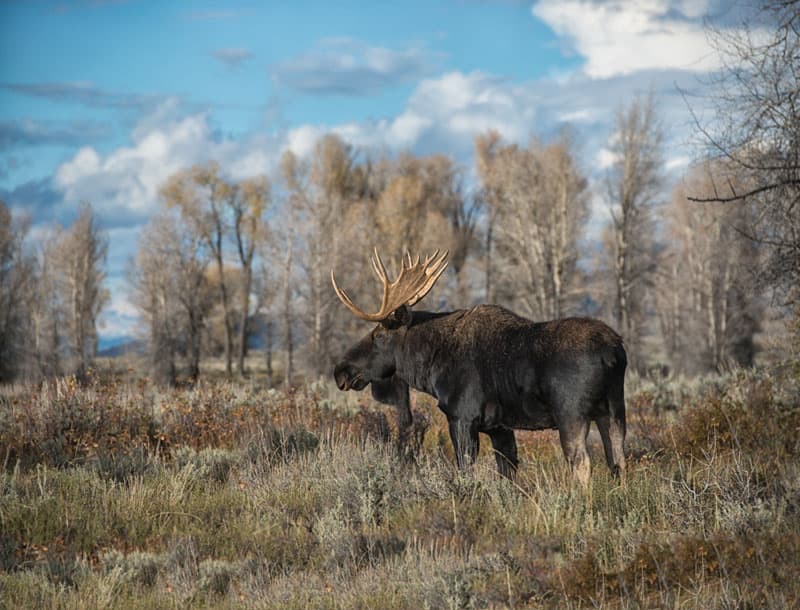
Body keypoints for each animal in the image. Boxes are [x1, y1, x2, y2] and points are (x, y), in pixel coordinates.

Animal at [330, 247, 624, 480]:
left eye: (379, 335)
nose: (340, 371)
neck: (430, 368)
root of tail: (613, 353)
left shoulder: (462, 417)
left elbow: (465, 470)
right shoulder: (499, 428)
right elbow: (507, 474)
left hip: (572, 413)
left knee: (582, 463)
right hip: (613, 410)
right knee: (617, 461)